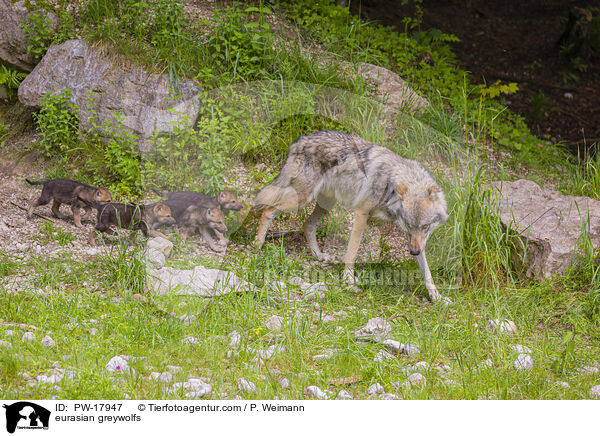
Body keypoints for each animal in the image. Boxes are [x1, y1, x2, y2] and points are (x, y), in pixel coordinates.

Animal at [253, 129, 450, 304]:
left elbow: (427, 272)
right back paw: (257, 245)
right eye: (408, 225)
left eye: (425, 227)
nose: (414, 252)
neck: (390, 185)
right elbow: (352, 252)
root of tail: (300, 140)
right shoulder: (361, 214)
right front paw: (348, 281)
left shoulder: (415, 239)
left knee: (307, 224)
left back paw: (319, 256)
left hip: (326, 204)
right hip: (301, 200)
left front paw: (437, 297)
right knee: (268, 210)